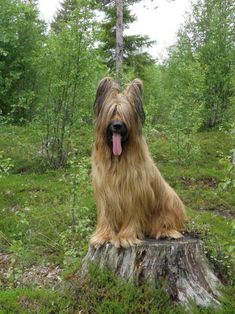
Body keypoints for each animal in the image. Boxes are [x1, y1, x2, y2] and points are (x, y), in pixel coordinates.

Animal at [89, 76, 185, 248]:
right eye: (112, 112)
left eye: (124, 114)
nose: (117, 125)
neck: (118, 160)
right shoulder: (105, 193)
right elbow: (107, 216)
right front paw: (103, 236)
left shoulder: (135, 192)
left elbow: (132, 215)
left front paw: (125, 237)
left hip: (169, 203)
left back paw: (166, 232)